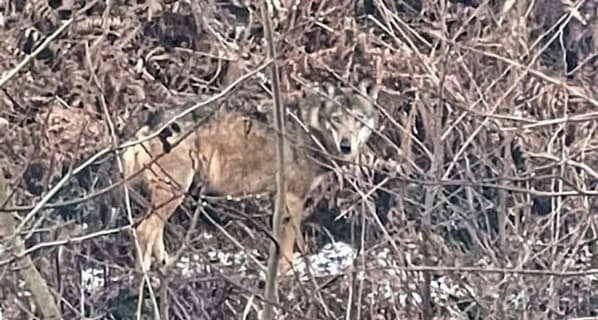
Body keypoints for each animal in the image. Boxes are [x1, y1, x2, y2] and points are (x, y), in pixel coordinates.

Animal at [123, 78, 380, 276]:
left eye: (358, 119)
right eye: (336, 119)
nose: (346, 145)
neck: (309, 129)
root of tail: (151, 121)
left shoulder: (279, 198)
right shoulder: (293, 197)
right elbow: (288, 246)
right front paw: (287, 276)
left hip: (172, 192)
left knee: (155, 231)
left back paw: (165, 268)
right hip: (176, 189)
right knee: (143, 230)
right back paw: (144, 279)